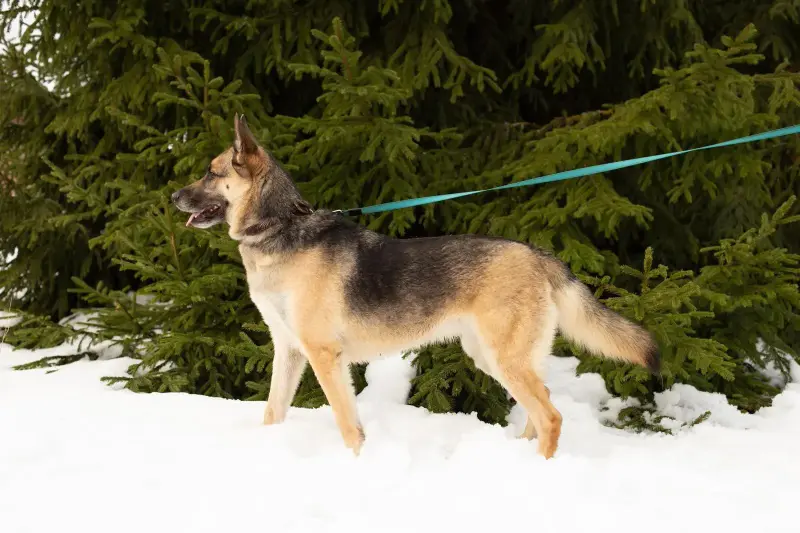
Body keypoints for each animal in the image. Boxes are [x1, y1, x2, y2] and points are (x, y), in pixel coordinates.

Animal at [172, 114, 660, 456]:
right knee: (540, 412)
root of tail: (540, 256)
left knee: (552, 417)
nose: (173, 197)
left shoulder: (323, 356)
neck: (278, 230)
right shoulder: (289, 350)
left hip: (504, 358)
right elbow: (273, 411)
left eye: (211, 173)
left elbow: (347, 424)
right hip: (493, 357)